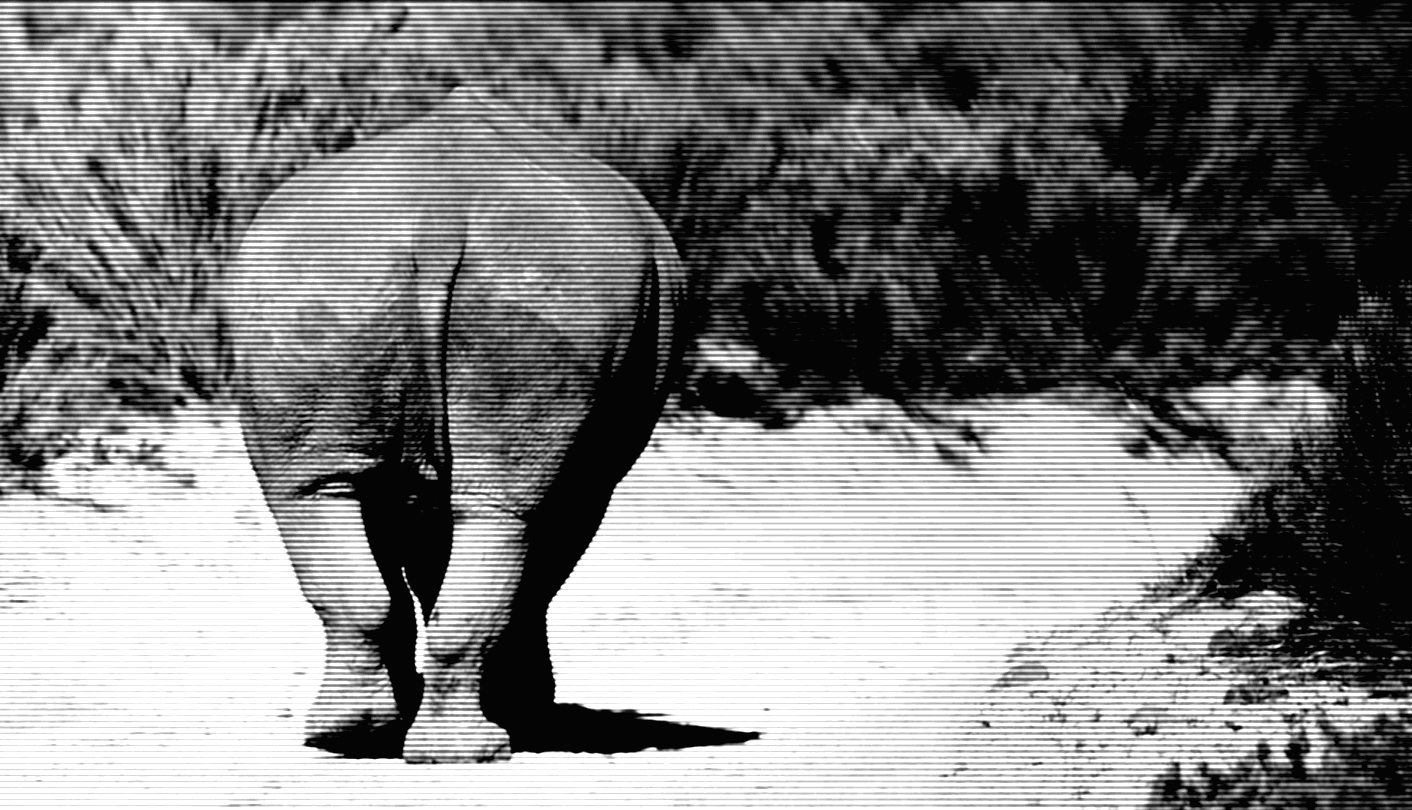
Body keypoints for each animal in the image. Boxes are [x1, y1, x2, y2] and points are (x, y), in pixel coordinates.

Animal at [218, 88, 683, 763]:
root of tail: (440, 210)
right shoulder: (590, 477)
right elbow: (533, 572)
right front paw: (528, 707)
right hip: (547, 288)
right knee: (503, 515)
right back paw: (470, 750)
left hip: (315, 280)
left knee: (314, 494)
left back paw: (352, 736)